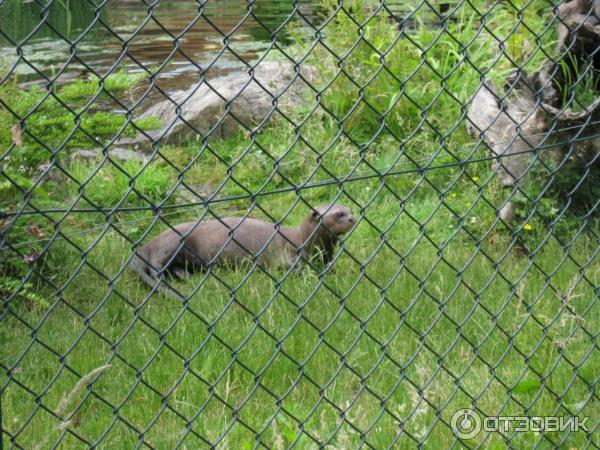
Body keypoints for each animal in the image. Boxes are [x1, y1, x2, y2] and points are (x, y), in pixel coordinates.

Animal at [130, 204, 356, 298]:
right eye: (339, 214)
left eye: (350, 209)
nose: (353, 218)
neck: (306, 242)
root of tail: (144, 246)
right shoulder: (287, 254)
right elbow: (295, 268)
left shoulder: (326, 256)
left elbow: (330, 267)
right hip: (173, 242)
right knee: (156, 265)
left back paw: (183, 275)